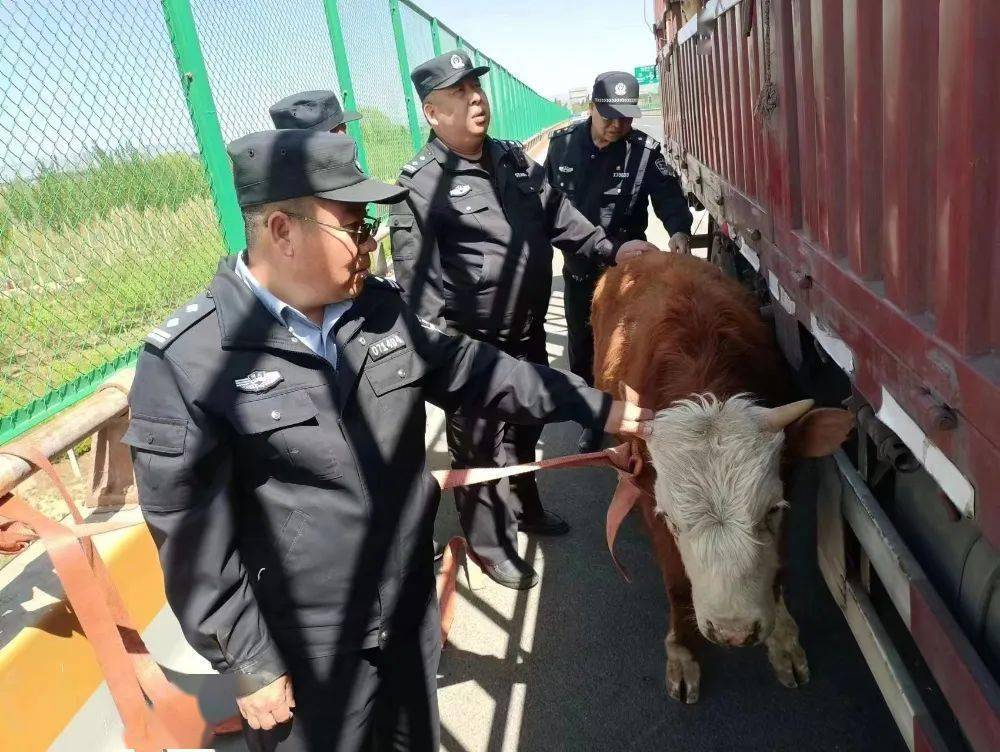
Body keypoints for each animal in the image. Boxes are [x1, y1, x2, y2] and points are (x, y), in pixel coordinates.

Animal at [592, 254, 852, 704]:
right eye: (671, 520)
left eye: (771, 511)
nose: (733, 632)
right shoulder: (648, 502)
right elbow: (677, 584)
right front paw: (682, 651)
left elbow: (778, 571)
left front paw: (783, 641)